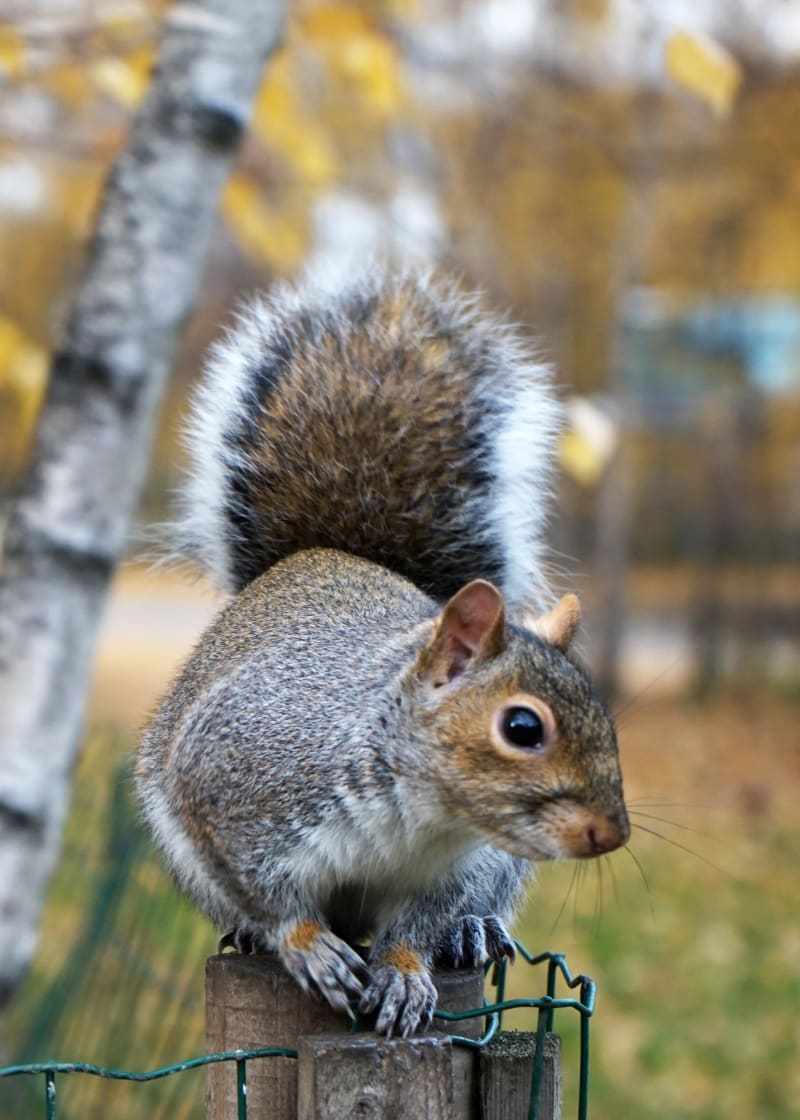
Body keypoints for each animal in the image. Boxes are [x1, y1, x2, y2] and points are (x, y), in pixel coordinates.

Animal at [135, 267, 629, 1038]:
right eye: (523, 727)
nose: (612, 833)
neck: (420, 822)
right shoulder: (233, 783)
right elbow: (269, 893)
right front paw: (307, 945)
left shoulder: (452, 873)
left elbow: (414, 929)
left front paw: (403, 972)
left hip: (501, 869)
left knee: (472, 914)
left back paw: (473, 932)